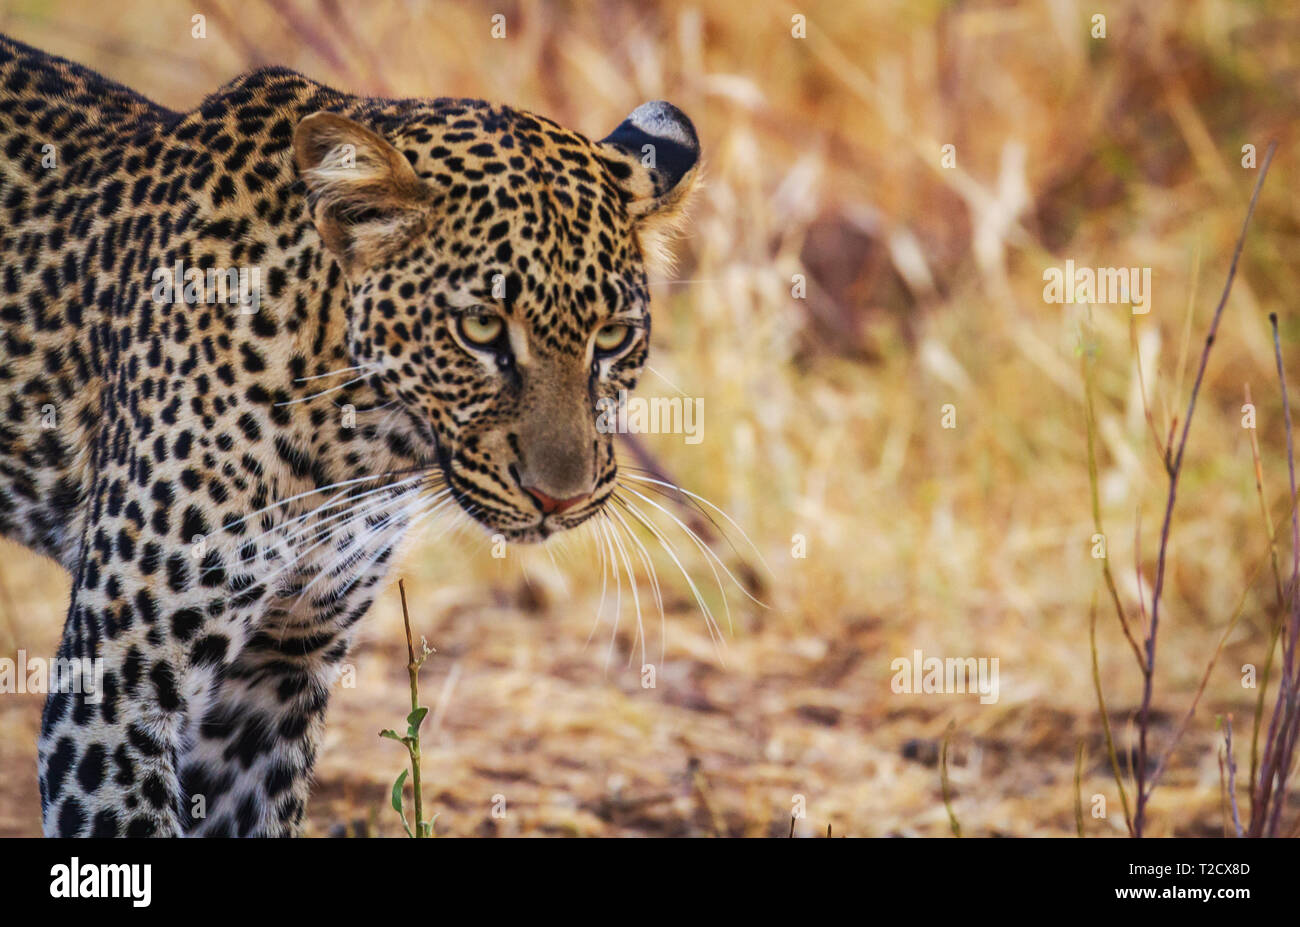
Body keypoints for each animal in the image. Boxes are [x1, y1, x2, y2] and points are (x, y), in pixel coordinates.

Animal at [0, 32, 699, 837]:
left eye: (612, 337)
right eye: (481, 327)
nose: (562, 499)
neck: (356, 444)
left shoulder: (276, 674)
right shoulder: (120, 686)